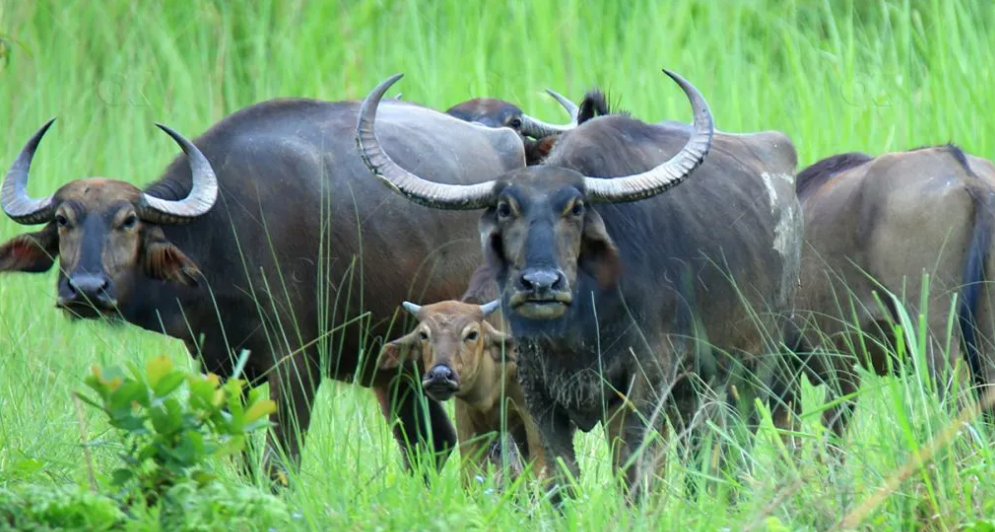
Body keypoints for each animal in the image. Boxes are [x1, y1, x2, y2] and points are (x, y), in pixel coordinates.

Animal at [0, 97, 529, 482]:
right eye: (62, 220)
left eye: (128, 221)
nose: (86, 289)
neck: (218, 237)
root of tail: (506, 145)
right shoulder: (216, 364)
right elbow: (241, 455)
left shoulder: (296, 363)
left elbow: (280, 462)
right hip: (398, 371)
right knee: (430, 444)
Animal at [377, 299, 547, 487]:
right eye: (423, 334)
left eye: (472, 334)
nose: (440, 375)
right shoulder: (467, 423)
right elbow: (470, 477)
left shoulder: (533, 421)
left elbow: (541, 471)